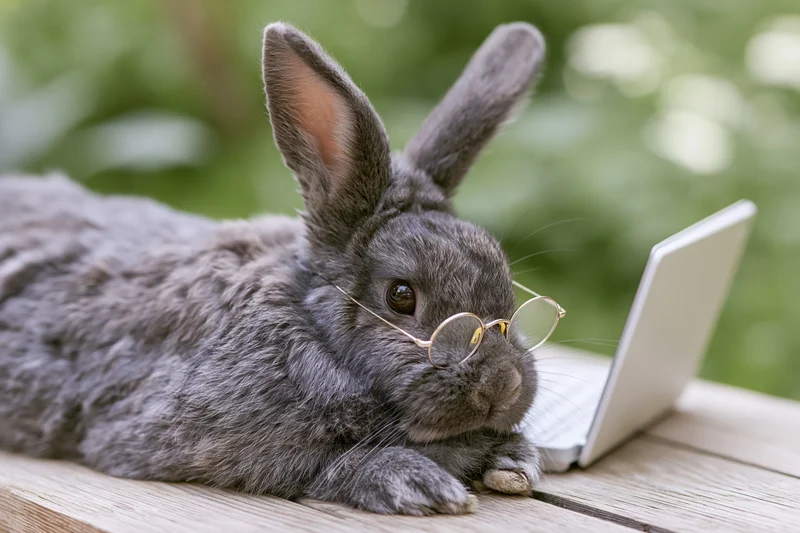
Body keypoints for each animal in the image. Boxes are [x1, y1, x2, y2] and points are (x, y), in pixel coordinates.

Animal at [0, 21, 547, 515]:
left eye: (506, 288)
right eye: (401, 296)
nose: (503, 385)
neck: (307, 327)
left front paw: (515, 460)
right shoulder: (194, 437)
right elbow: (325, 466)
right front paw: (423, 483)